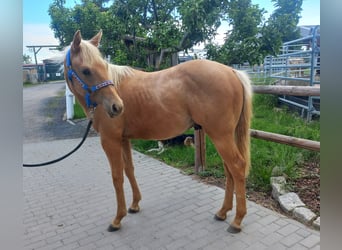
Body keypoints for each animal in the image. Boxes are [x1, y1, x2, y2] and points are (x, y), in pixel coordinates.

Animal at [63, 30, 251, 233]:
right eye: (86, 70)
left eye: (103, 66)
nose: (117, 107)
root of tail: (231, 71)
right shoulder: (124, 139)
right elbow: (129, 170)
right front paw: (134, 205)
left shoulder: (110, 140)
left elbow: (117, 176)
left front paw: (117, 219)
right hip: (221, 136)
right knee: (229, 169)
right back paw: (223, 212)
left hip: (221, 136)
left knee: (237, 166)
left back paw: (237, 220)